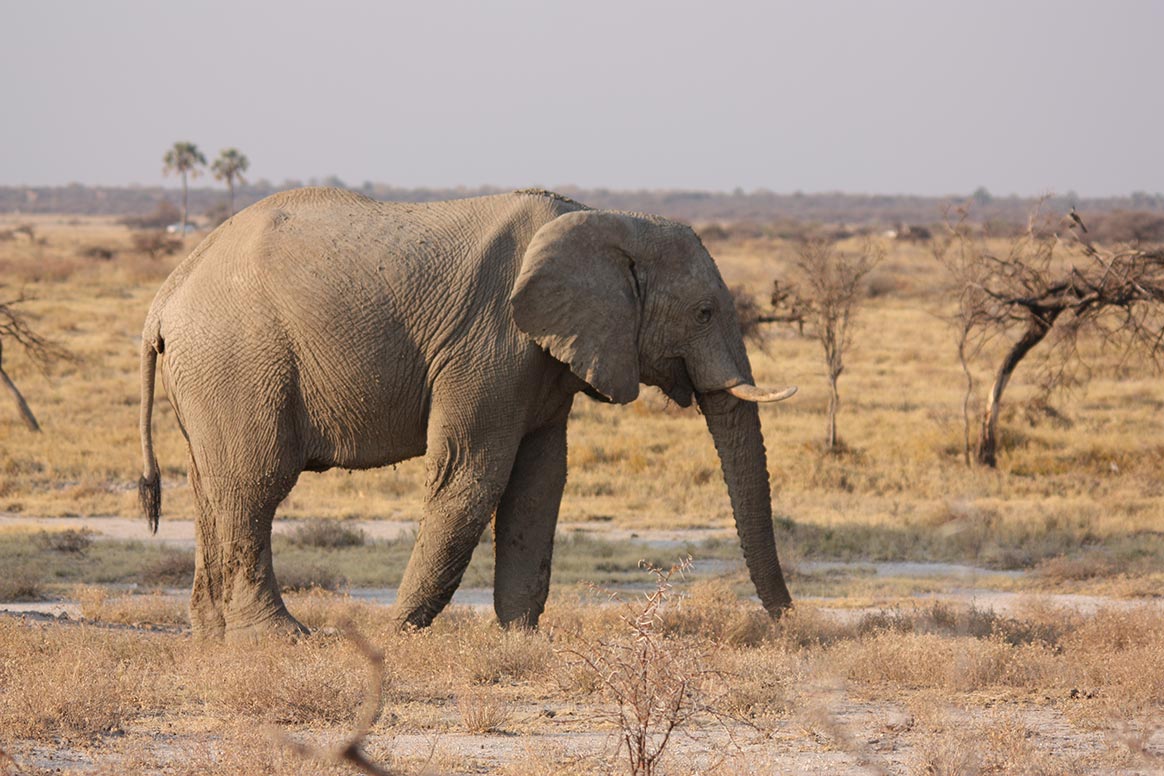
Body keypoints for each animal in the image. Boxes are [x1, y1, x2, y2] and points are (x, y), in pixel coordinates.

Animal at [133, 184, 791, 642]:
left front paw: (521, 641)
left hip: (212, 377)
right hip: (239, 361)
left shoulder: (543, 359)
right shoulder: (492, 344)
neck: (606, 219)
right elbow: (471, 476)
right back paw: (279, 639)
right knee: (254, 485)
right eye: (705, 312)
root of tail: (166, 295)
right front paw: (396, 635)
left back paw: (214, 639)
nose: (787, 624)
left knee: (212, 489)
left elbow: (539, 484)